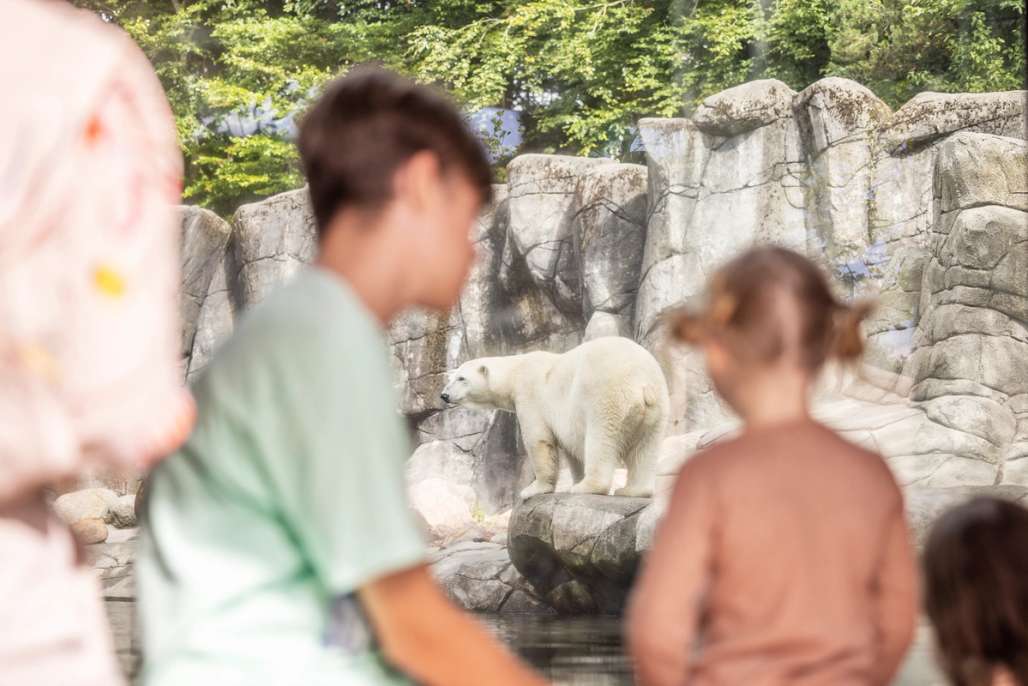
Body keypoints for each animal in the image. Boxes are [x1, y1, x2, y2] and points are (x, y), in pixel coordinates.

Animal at [439, 337, 666, 499]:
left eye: (462, 378)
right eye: (452, 378)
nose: (444, 395)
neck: (515, 370)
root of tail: (642, 384)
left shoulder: (529, 395)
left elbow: (539, 440)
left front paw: (533, 489)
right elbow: (572, 450)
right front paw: (575, 478)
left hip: (606, 396)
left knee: (600, 440)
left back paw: (587, 487)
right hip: (657, 409)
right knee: (645, 449)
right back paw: (633, 490)